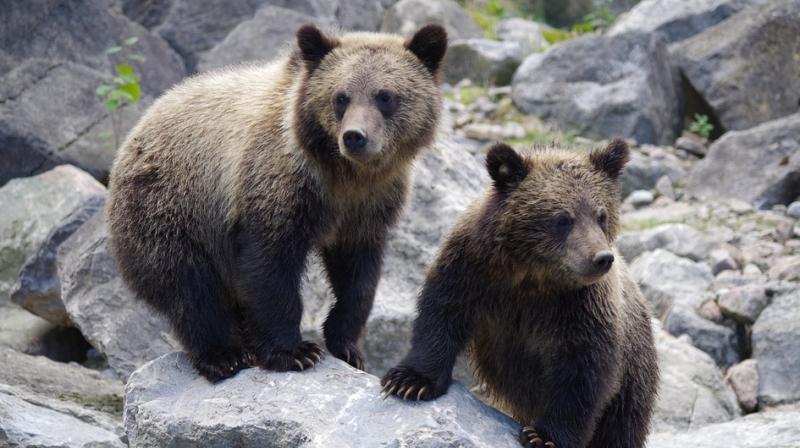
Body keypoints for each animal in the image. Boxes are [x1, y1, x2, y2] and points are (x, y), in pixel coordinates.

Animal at [106, 24, 448, 382]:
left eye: (385, 96)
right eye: (341, 97)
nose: (355, 136)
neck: (343, 176)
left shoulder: (367, 208)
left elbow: (358, 277)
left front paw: (347, 346)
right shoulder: (277, 185)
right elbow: (270, 267)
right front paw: (294, 351)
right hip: (171, 207)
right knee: (191, 287)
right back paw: (223, 355)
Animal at [381, 140, 659, 448]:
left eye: (601, 215)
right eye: (563, 218)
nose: (601, 258)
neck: (532, 276)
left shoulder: (580, 307)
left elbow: (582, 373)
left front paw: (546, 436)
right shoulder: (471, 271)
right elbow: (440, 315)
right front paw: (409, 381)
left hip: (635, 375)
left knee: (621, 426)